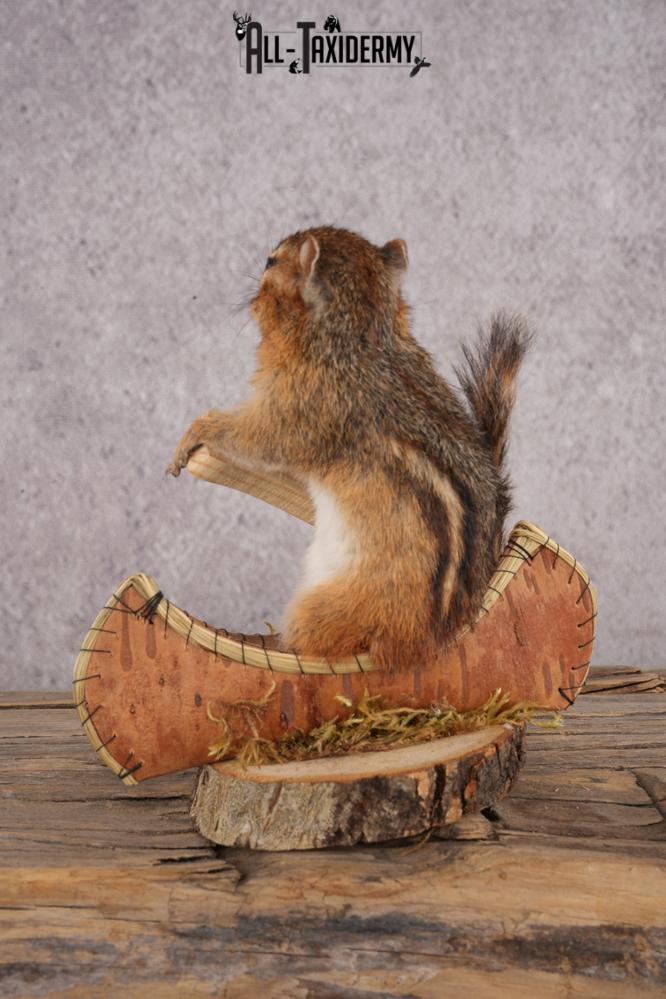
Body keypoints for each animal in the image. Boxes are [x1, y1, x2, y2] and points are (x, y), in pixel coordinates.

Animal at [167, 226, 531, 671]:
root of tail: (432, 639)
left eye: (271, 262)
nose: (251, 298)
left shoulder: (298, 408)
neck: (362, 334)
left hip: (324, 608)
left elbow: (256, 438)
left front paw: (197, 431)